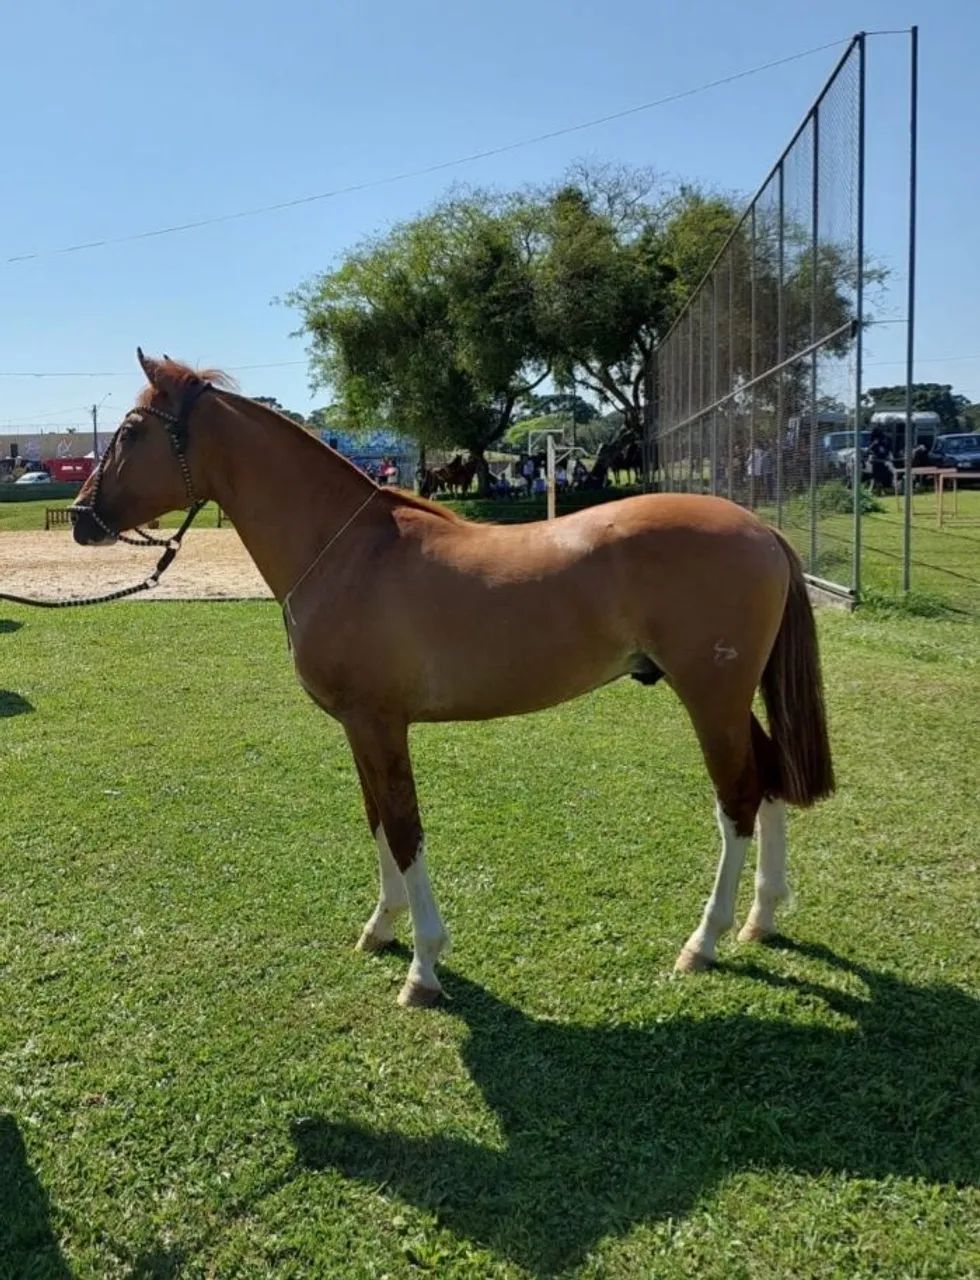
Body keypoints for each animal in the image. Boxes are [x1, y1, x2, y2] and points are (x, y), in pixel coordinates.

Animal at [72, 353, 835, 1008]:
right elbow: (378, 822)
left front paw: (424, 966)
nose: (81, 518)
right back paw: (761, 919)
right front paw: (381, 929)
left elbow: (405, 829)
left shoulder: (381, 725)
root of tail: (761, 531)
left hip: (710, 697)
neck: (346, 551)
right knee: (769, 781)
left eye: (131, 432)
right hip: (729, 700)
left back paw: (703, 942)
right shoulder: (360, 728)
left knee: (738, 800)